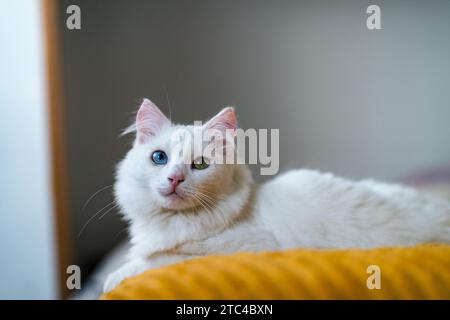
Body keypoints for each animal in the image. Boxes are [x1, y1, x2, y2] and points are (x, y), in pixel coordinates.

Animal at [103, 99, 450, 292]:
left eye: (199, 164)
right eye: (159, 158)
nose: (174, 179)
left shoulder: (245, 249)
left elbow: (156, 260)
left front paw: (113, 278)